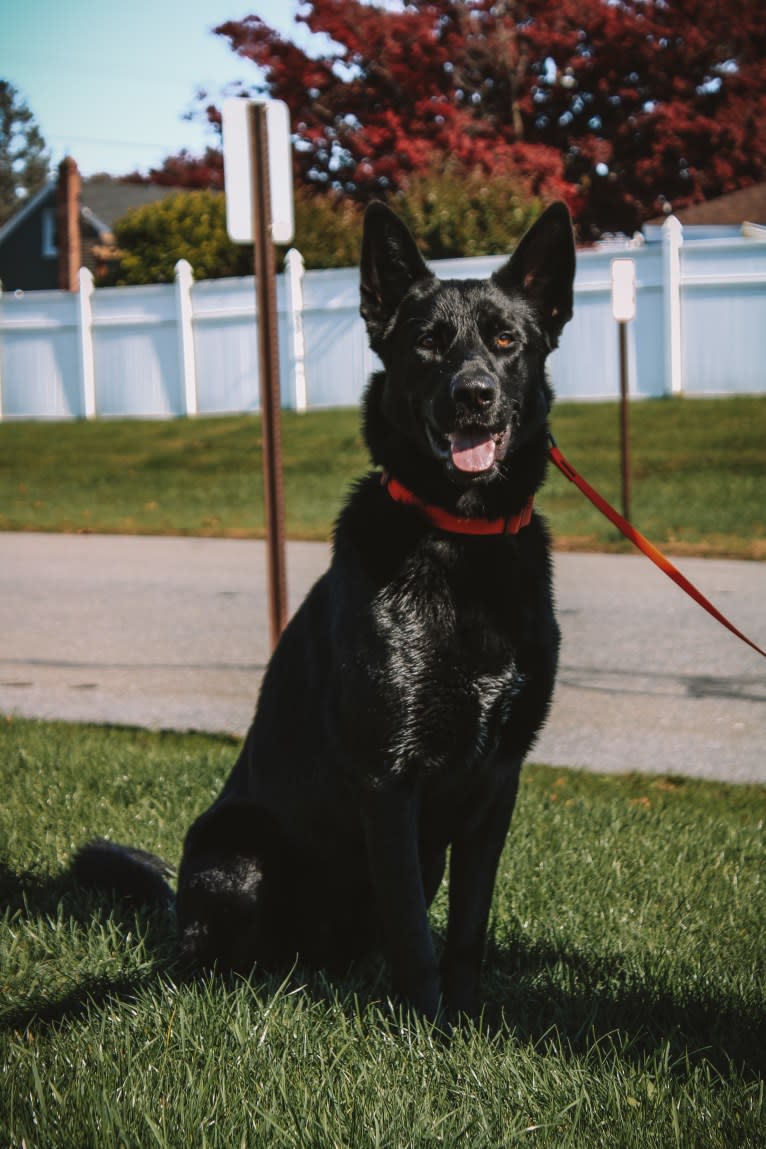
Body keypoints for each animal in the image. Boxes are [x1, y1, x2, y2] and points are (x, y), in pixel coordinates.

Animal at [76, 202, 574, 1020]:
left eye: (506, 340)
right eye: (428, 342)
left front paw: (467, 1020)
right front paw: (428, 1028)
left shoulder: (497, 783)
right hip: (236, 850)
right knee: (211, 962)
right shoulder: (388, 780)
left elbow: (466, 927)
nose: (473, 394)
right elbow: (414, 933)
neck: (459, 540)